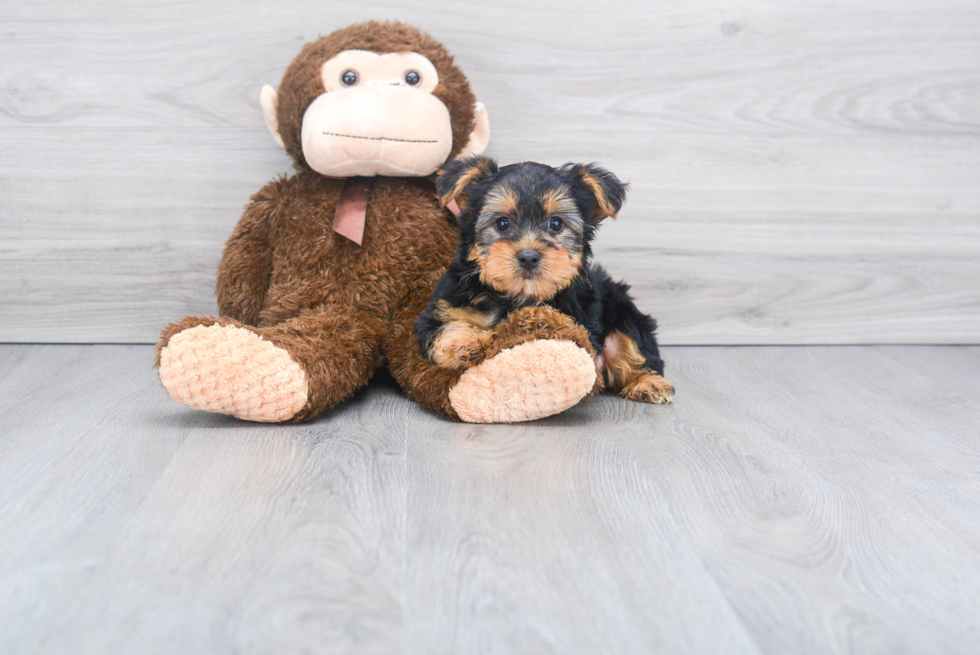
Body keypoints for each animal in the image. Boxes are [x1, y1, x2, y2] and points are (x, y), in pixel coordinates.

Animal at [414, 158, 672, 404]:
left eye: (556, 223)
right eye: (502, 223)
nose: (528, 256)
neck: (517, 296)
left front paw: (541, 320)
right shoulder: (446, 305)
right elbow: (444, 327)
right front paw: (464, 343)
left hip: (622, 308)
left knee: (631, 345)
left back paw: (648, 383)